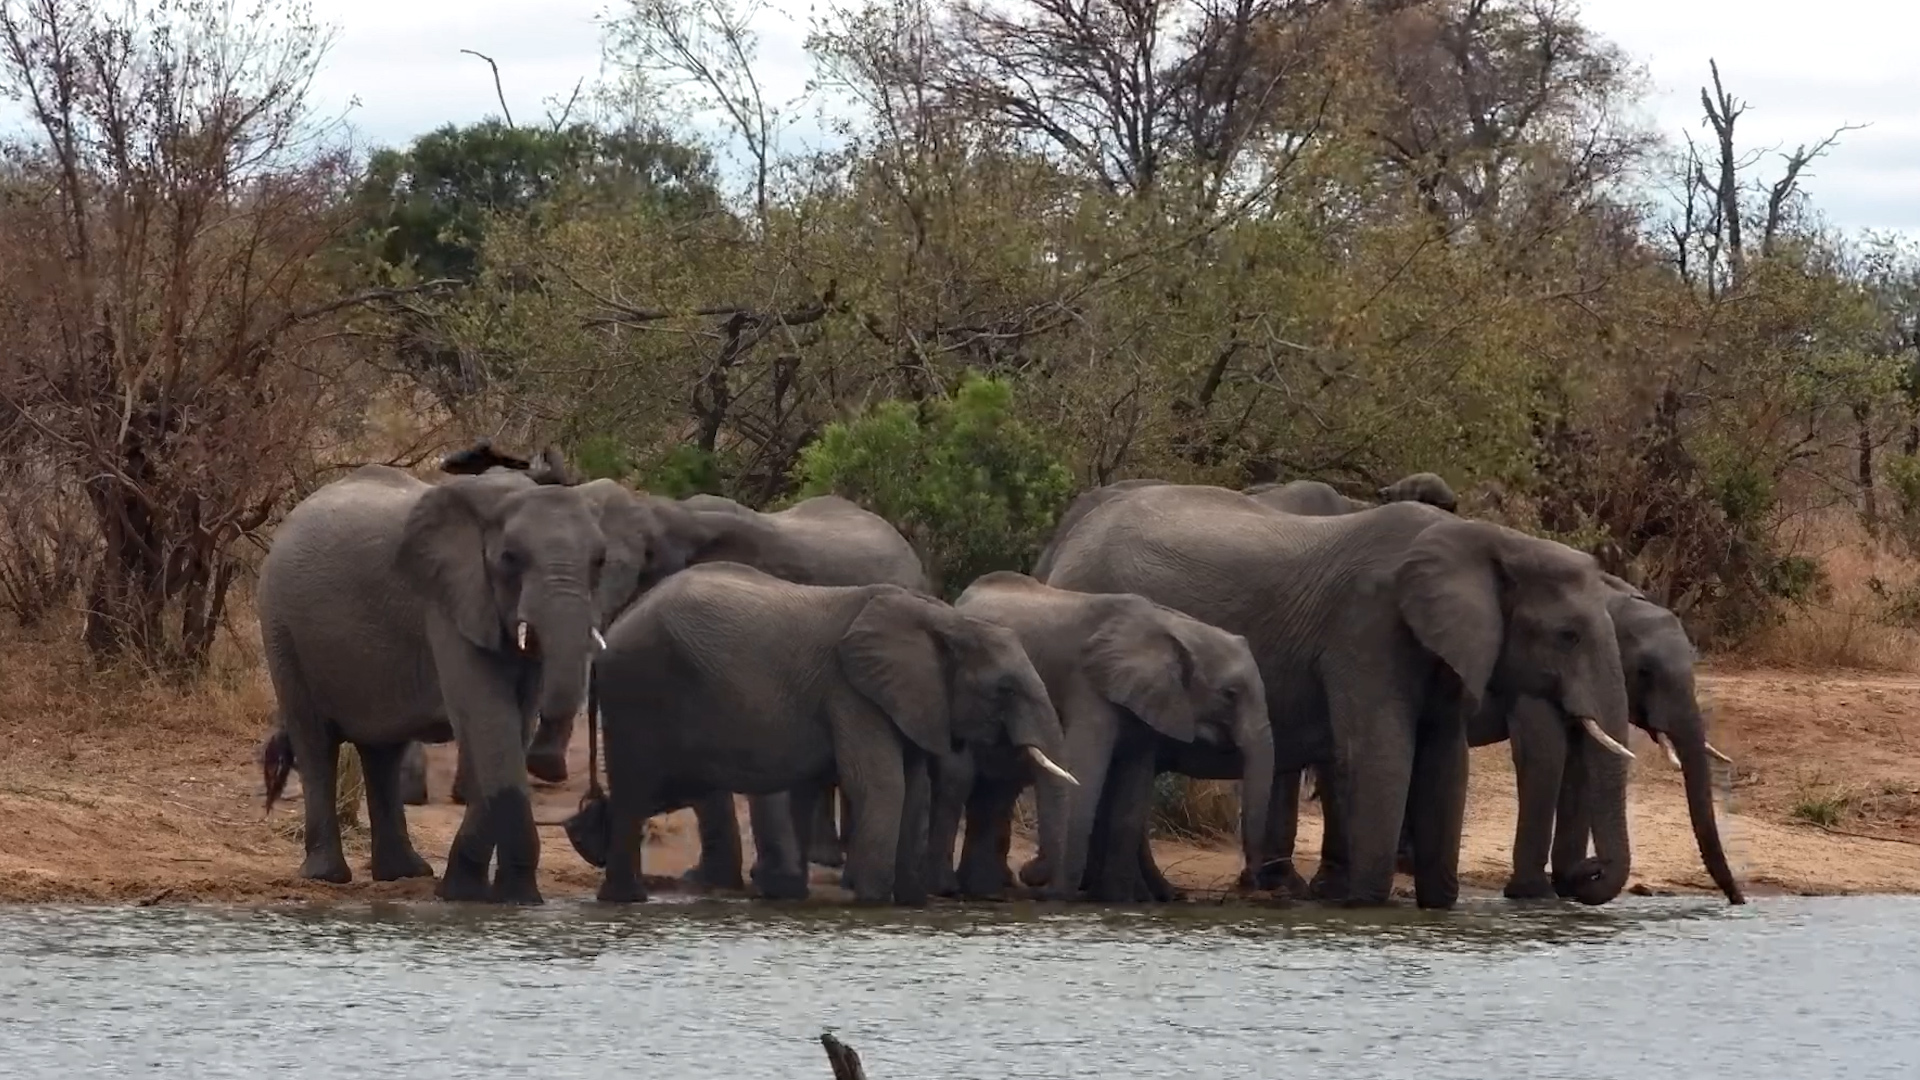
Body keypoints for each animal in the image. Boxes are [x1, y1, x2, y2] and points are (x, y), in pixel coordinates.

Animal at [254, 462, 662, 902]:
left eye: (600, 561)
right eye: (510, 558)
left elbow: (512, 727)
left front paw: (476, 892)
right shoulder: (448, 603)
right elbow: (489, 720)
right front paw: (500, 897)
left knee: (382, 753)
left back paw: (403, 873)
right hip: (280, 626)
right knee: (315, 743)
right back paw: (326, 877)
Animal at [575, 561, 1076, 904]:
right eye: (1004, 690)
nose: (1031, 874)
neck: (946, 621)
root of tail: (608, 636)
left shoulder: (909, 699)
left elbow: (914, 788)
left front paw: (911, 902)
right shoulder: (850, 690)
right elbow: (881, 783)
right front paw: (872, 902)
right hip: (640, 691)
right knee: (638, 790)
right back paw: (626, 898)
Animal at [935, 571, 1274, 901]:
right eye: (1230, 694)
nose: (1248, 881)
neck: (1176, 627)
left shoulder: (1152, 701)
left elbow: (1133, 796)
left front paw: (1117, 900)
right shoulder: (1090, 686)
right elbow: (1084, 775)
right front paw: (1059, 897)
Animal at [1037, 482, 1637, 909]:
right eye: (1568, 636)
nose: (1586, 873)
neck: (1490, 539)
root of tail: (1064, 544)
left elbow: (1446, 763)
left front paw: (1437, 908)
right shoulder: (1366, 627)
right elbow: (1382, 755)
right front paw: (1364, 907)